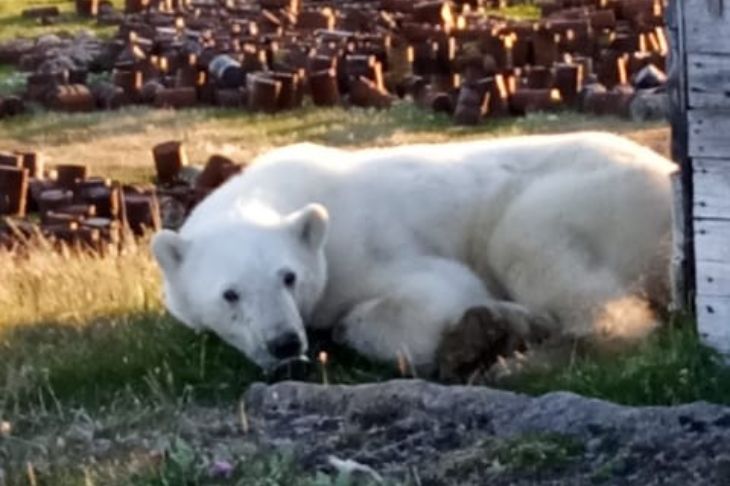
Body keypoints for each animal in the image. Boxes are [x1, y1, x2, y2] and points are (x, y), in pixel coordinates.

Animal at [149, 133, 676, 376]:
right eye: (230, 294)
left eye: (289, 277)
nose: (284, 343)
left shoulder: (363, 247)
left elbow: (436, 292)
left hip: (589, 196)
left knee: (532, 247)